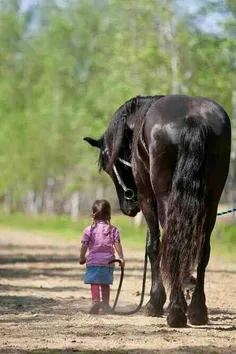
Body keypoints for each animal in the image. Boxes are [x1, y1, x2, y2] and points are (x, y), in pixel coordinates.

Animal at [84, 95, 231, 328]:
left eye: (108, 167)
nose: (128, 205)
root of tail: (194, 118)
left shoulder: (147, 199)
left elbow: (153, 247)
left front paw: (155, 302)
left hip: (164, 199)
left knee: (174, 244)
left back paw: (176, 311)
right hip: (211, 203)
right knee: (201, 249)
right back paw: (197, 310)